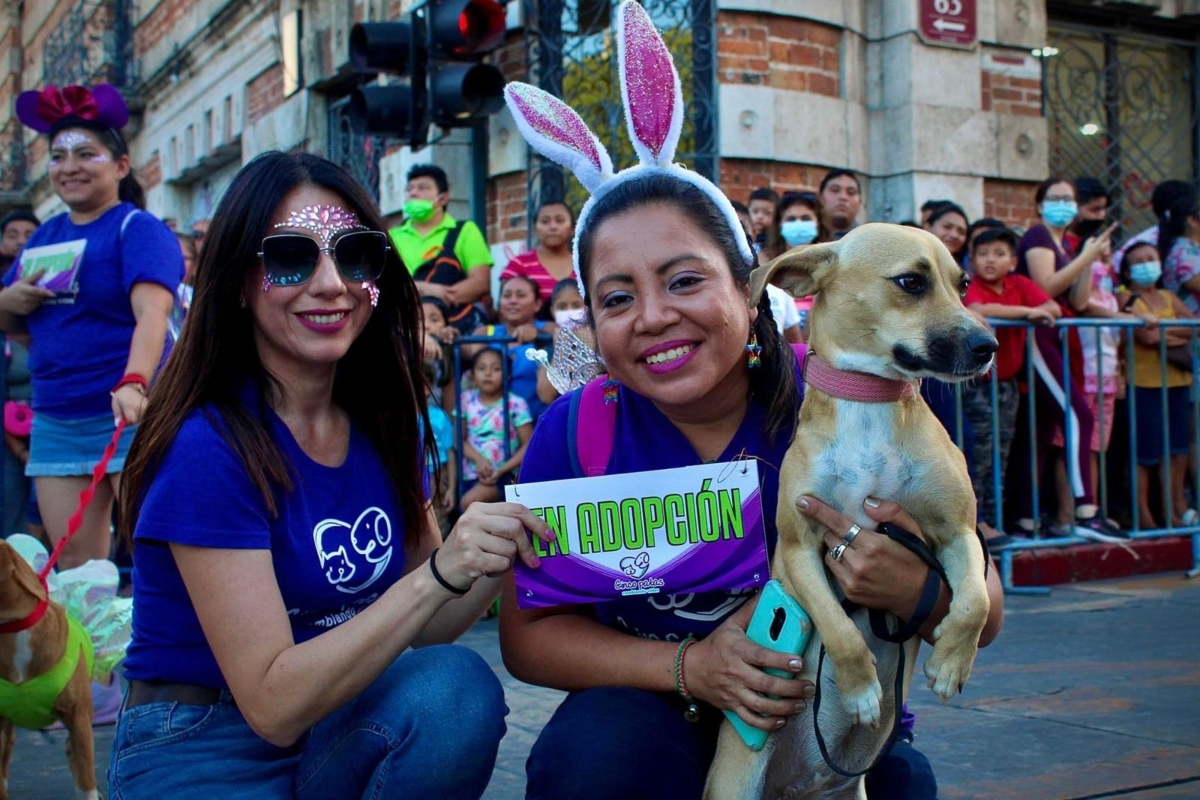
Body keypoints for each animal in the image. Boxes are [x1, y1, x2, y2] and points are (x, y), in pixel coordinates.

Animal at [700, 224, 993, 800]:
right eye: (911, 282)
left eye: (963, 283)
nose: (988, 346)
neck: (869, 403)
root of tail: (798, 788)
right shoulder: (800, 549)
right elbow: (840, 628)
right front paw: (860, 691)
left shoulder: (958, 533)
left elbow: (975, 602)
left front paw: (951, 661)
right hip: (733, 785)